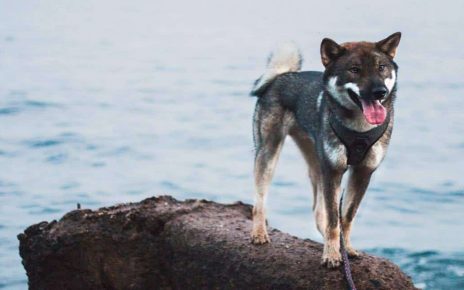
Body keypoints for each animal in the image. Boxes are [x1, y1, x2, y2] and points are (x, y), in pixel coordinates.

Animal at [250, 32, 402, 268]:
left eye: (382, 67)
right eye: (354, 69)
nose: (380, 92)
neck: (359, 128)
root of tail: (281, 76)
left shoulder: (362, 172)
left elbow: (345, 217)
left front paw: (345, 248)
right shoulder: (333, 170)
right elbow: (333, 219)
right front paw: (331, 255)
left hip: (316, 163)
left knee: (317, 210)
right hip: (269, 153)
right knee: (259, 199)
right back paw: (259, 233)